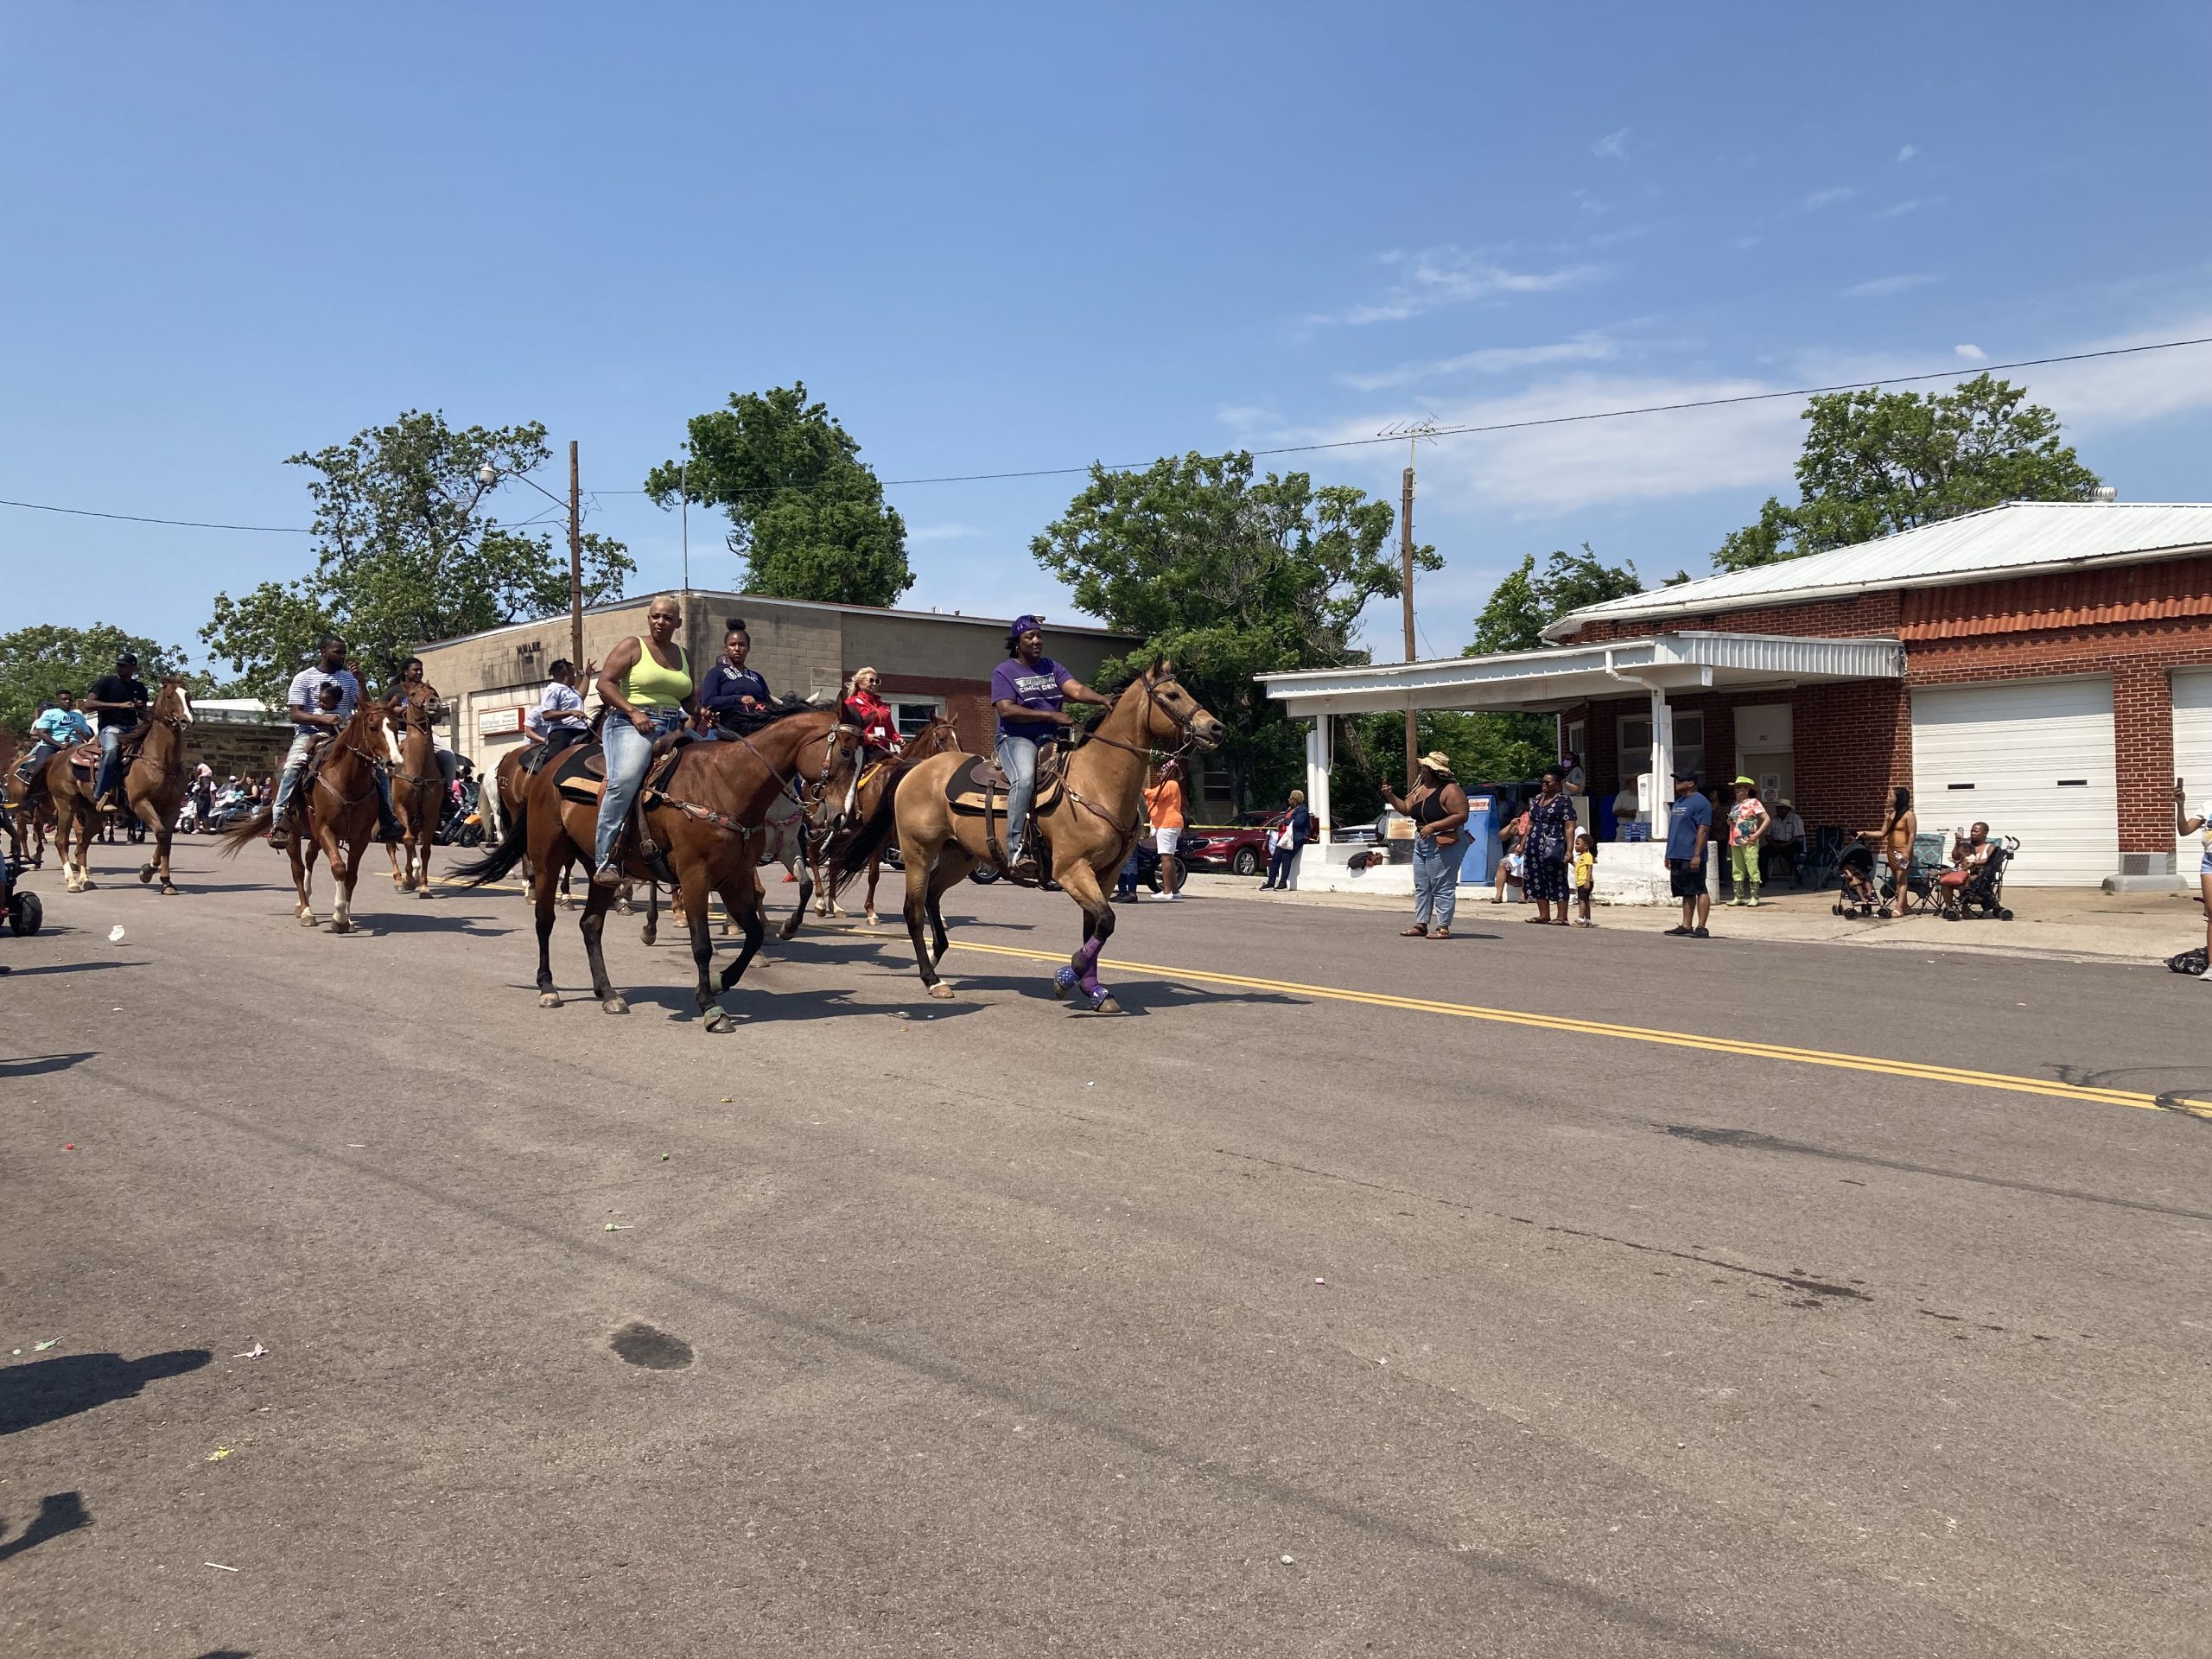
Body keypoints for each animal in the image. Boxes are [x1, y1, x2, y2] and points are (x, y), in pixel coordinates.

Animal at [44, 677, 195, 898]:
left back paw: (86, 880)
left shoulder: (172, 807)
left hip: (94, 813)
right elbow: (160, 833)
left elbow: (166, 840)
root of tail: (59, 756)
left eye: (188, 696)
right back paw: (72, 882)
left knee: (82, 843)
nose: (186, 720)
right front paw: (147, 871)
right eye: (169, 696)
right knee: (61, 840)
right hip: (66, 804)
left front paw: (167, 883)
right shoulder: (141, 803)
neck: (159, 761)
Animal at [216, 698, 393, 938]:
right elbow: (338, 867)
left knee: (309, 857)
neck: (348, 781)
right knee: (298, 868)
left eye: (397, 726)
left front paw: (348, 918)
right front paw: (339, 918)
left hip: (314, 832)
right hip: (294, 830)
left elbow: (351, 875)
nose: (393, 761)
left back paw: (305, 902)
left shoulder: (361, 836)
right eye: (373, 728)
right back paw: (307, 911)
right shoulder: (326, 829)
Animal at [448, 712, 854, 1035]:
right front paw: (710, 1007)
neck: (725, 784)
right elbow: (702, 946)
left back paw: (609, 993)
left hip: (600, 868)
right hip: (548, 858)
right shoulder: (695, 877)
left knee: (591, 924)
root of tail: (546, 770)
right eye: (847, 752)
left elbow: (753, 934)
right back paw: (548, 988)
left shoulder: (735, 876)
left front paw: (723, 980)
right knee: (544, 920)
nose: (838, 819)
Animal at [831, 664, 1230, 1013]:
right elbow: (1105, 921)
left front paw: (1095, 990)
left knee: (932, 898)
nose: (1216, 728)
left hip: (959, 857)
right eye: (1172, 694)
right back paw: (932, 979)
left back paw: (936, 954)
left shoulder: (1106, 874)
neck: (1096, 782)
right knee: (913, 910)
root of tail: (916, 768)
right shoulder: (1071, 870)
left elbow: (1095, 927)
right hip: (917, 852)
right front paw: (1068, 976)